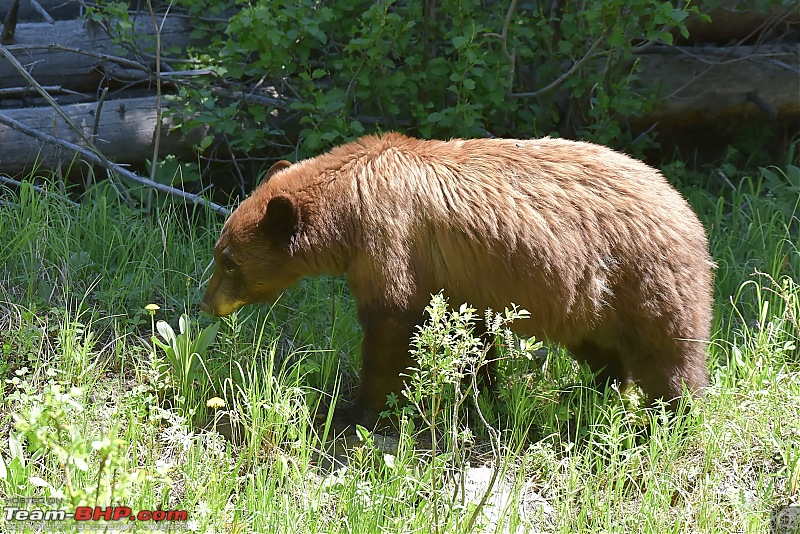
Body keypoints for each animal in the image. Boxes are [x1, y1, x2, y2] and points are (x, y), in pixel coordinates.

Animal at [203, 135, 716, 432]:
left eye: (228, 261)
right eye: (218, 252)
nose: (207, 303)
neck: (348, 204)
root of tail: (686, 209)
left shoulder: (390, 237)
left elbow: (391, 325)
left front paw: (355, 411)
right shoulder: (458, 278)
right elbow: (468, 333)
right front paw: (482, 395)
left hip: (645, 277)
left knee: (667, 357)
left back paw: (671, 419)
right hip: (594, 302)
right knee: (602, 351)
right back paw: (588, 395)